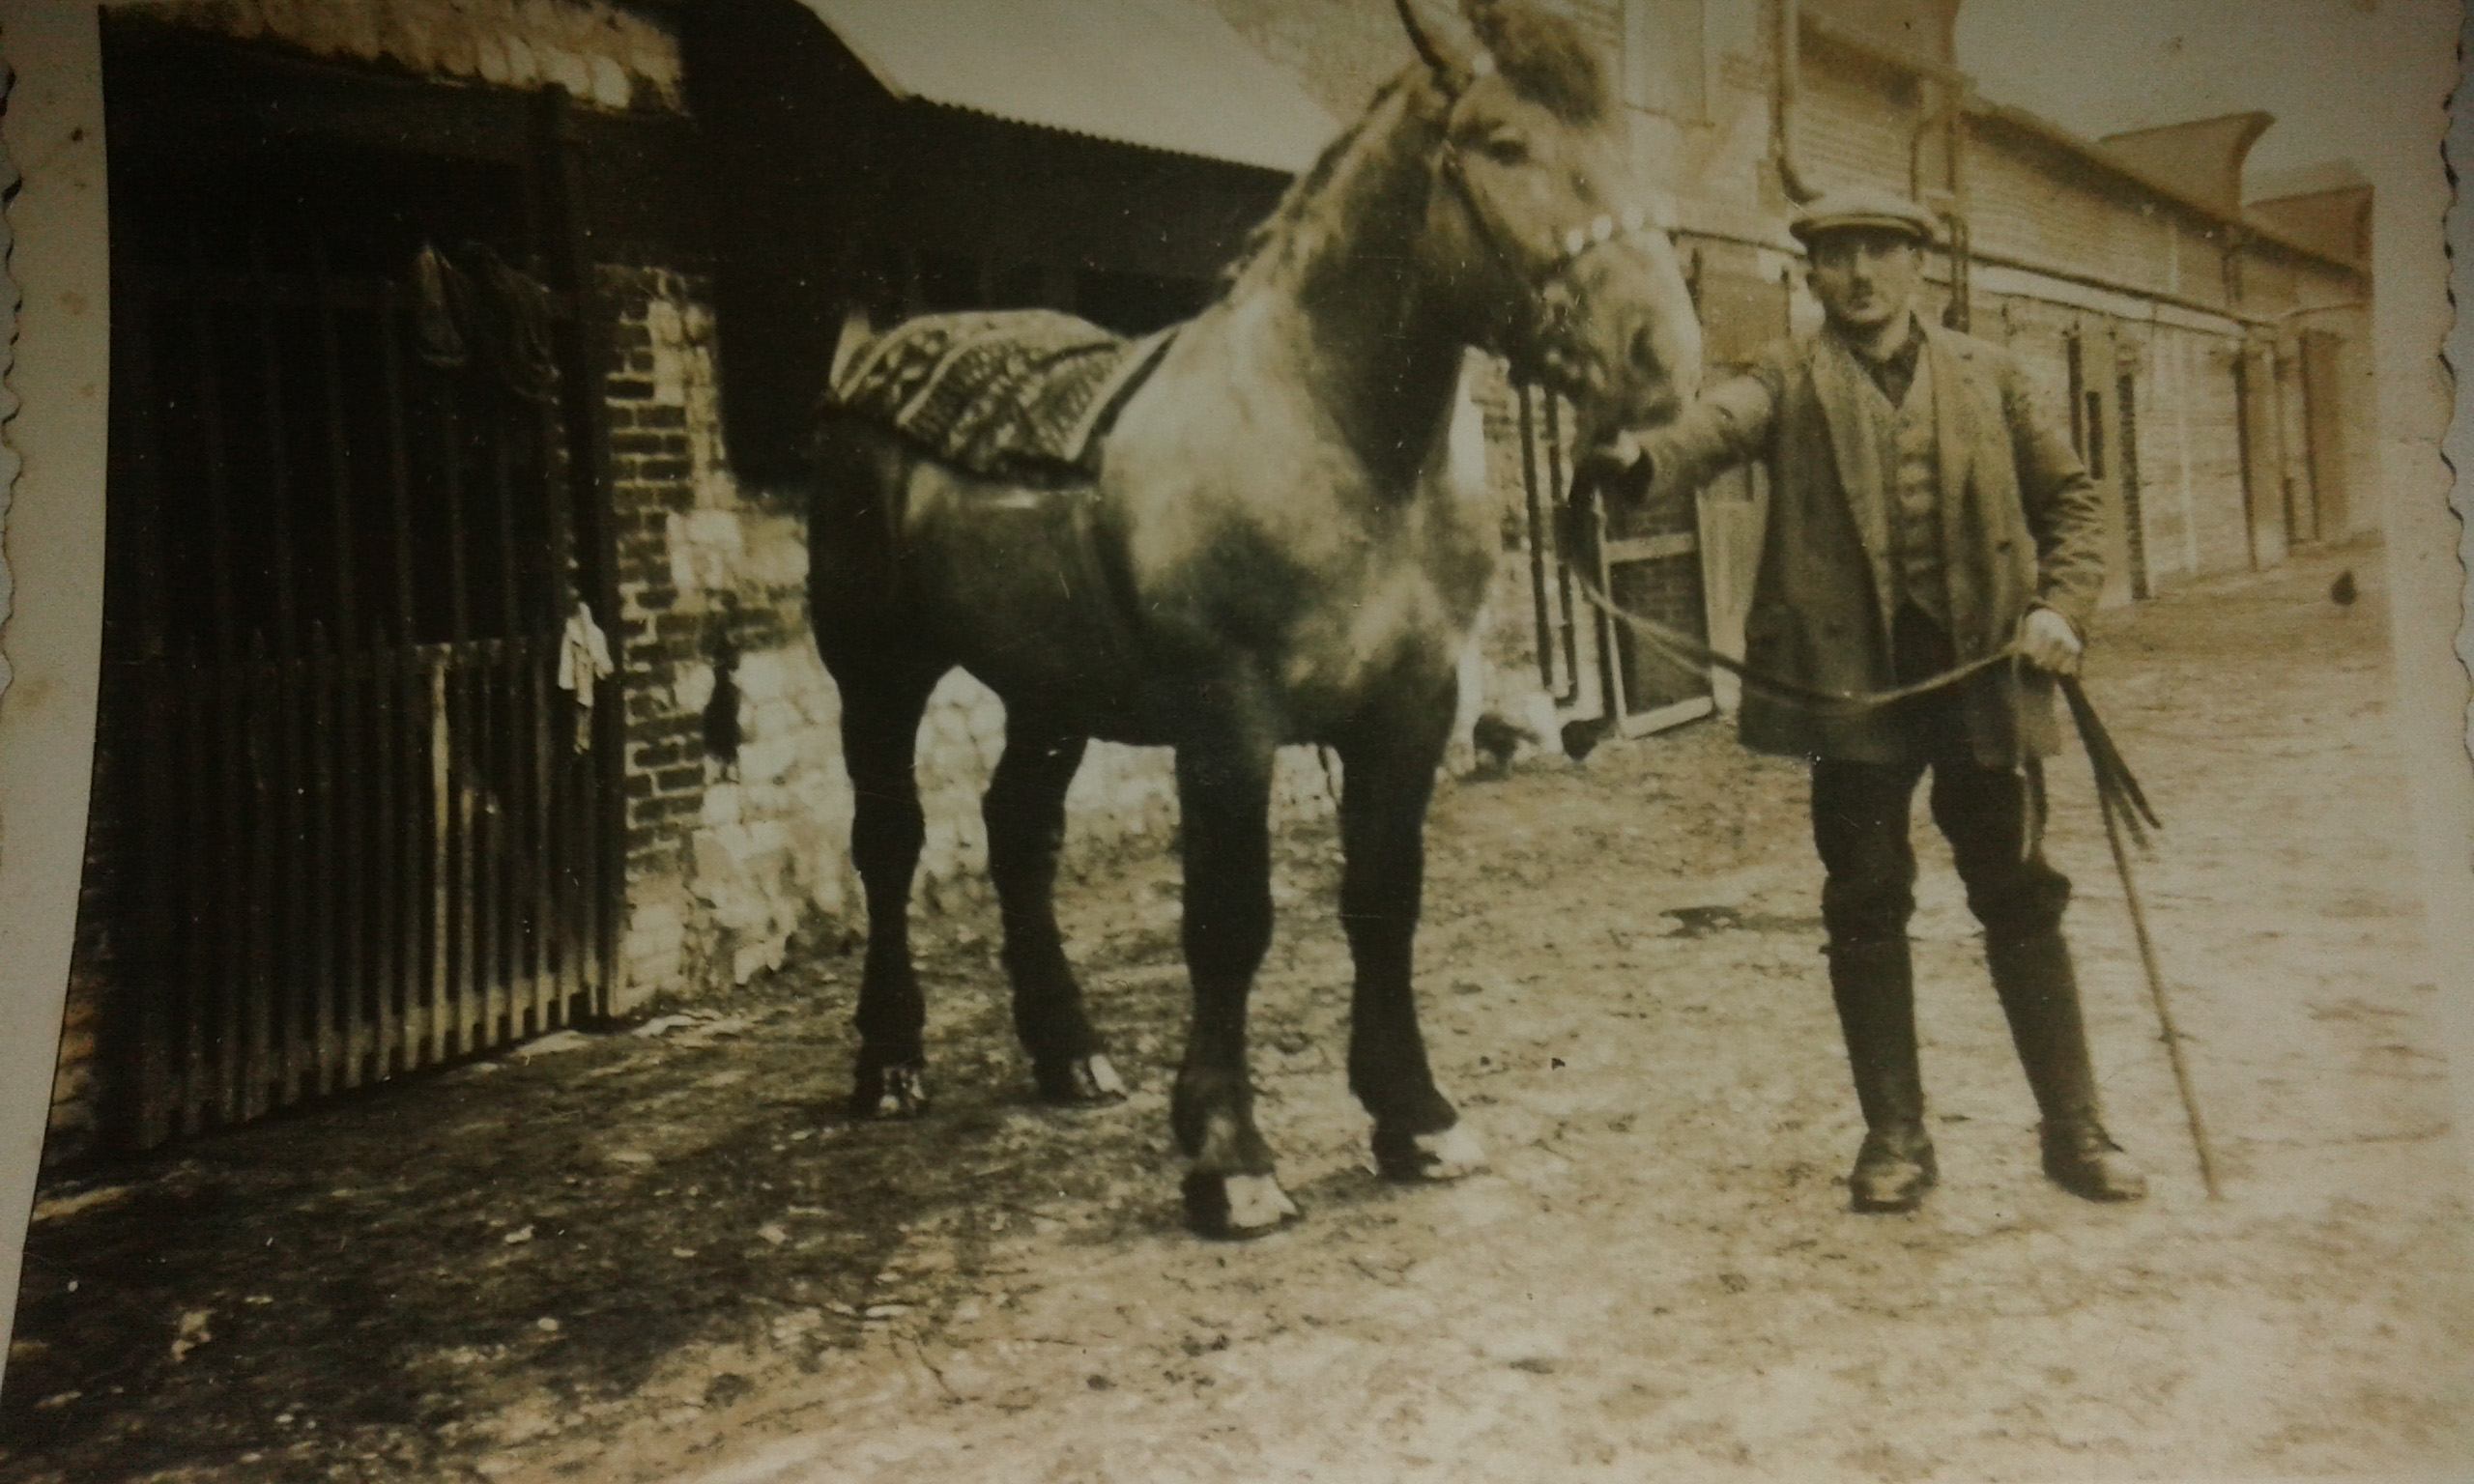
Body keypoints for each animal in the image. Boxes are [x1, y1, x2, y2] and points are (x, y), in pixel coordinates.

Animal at [811, 0, 1702, 1237]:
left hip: (1049, 689)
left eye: (1621, 144)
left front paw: (1415, 1118)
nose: (1661, 358)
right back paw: (892, 1062)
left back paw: (1070, 1052)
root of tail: (875, 352)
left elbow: (1382, 902)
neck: (1334, 439)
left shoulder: (1411, 712)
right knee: (889, 841)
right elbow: (1230, 923)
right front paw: (1229, 1158)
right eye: (1503, 145)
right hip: (878, 669)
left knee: (1017, 832)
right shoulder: (1228, 723)